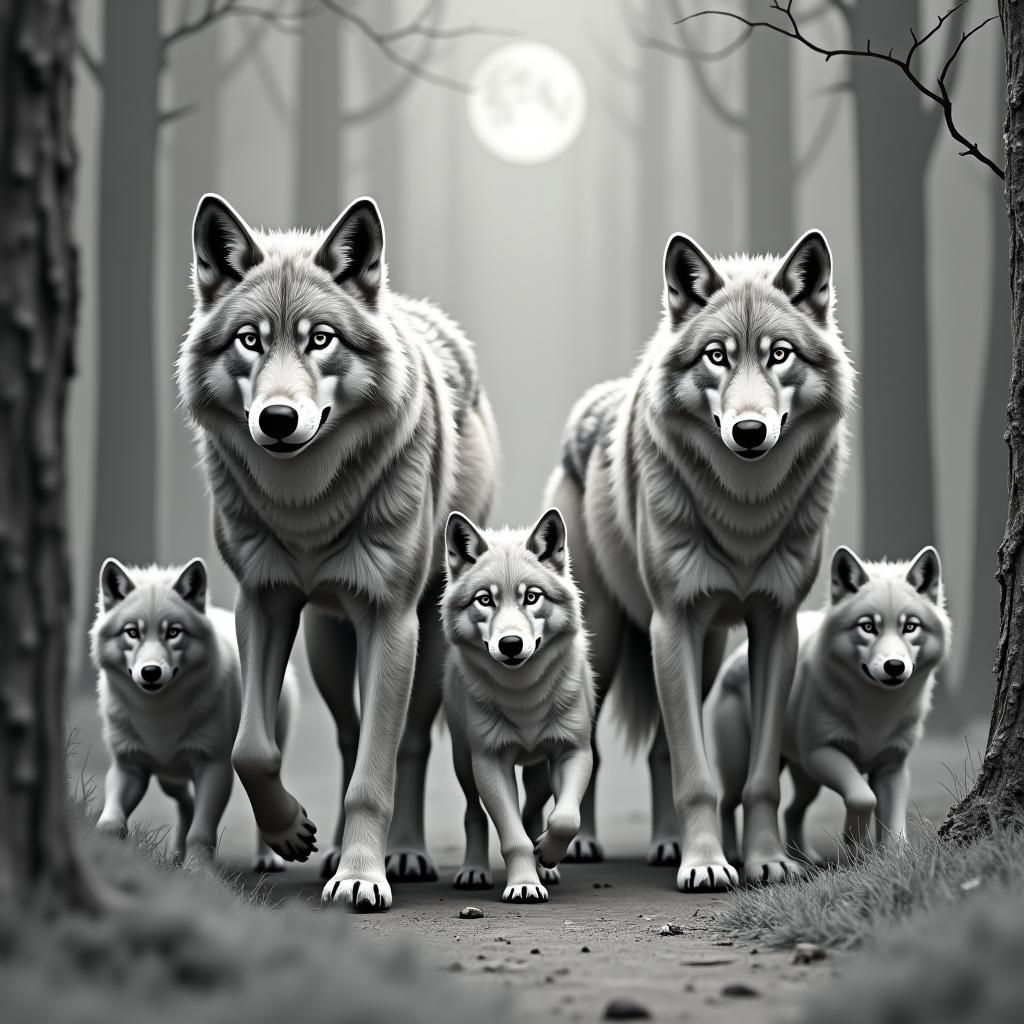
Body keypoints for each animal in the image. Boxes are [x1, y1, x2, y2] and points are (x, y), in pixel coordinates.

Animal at [91, 557, 298, 870]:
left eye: (173, 632)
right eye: (132, 632)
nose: (150, 672)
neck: (159, 715)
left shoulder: (214, 769)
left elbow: (201, 832)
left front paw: (197, 871)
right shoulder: (128, 767)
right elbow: (110, 822)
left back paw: (267, 858)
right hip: (168, 777)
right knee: (185, 804)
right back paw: (175, 856)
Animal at [177, 194, 498, 911]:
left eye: (320, 339)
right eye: (250, 340)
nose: (276, 420)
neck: (305, 510)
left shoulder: (390, 619)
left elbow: (375, 775)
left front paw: (361, 876)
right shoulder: (263, 603)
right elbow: (252, 750)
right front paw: (291, 830)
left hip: (426, 644)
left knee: (406, 744)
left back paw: (402, 854)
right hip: (325, 641)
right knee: (350, 733)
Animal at [441, 509, 595, 903]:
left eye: (532, 596)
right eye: (484, 600)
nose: (510, 644)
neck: (523, 695)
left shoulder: (573, 751)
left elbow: (565, 819)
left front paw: (546, 856)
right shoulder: (490, 762)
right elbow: (513, 838)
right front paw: (524, 885)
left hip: (539, 771)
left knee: (534, 810)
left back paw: (545, 866)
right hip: (464, 764)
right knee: (474, 814)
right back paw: (474, 871)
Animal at [542, 229, 854, 891]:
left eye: (779, 354)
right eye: (717, 355)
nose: (749, 432)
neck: (745, 514)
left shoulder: (773, 626)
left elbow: (755, 774)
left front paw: (764, 860)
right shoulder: (672, 622)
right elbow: (696, 772)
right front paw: (708, 863)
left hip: (708, 651)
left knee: (660, 747)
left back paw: (666, 844)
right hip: (606, 641)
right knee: (593, 746)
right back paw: (581, 844)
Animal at [714, 545, 951, 862]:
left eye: (910, 627)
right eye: (868, 627)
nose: (894, 666)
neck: (876, 711)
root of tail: (738, 653)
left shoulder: (892, 767)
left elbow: (893, 824)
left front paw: (895, 858)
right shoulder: (822, 753)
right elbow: (863, 797)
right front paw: (855, 840)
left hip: (806, 780)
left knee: (791, 810)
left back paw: (806, 857)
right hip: (744, 768)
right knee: (727, 803)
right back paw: (731, 854)